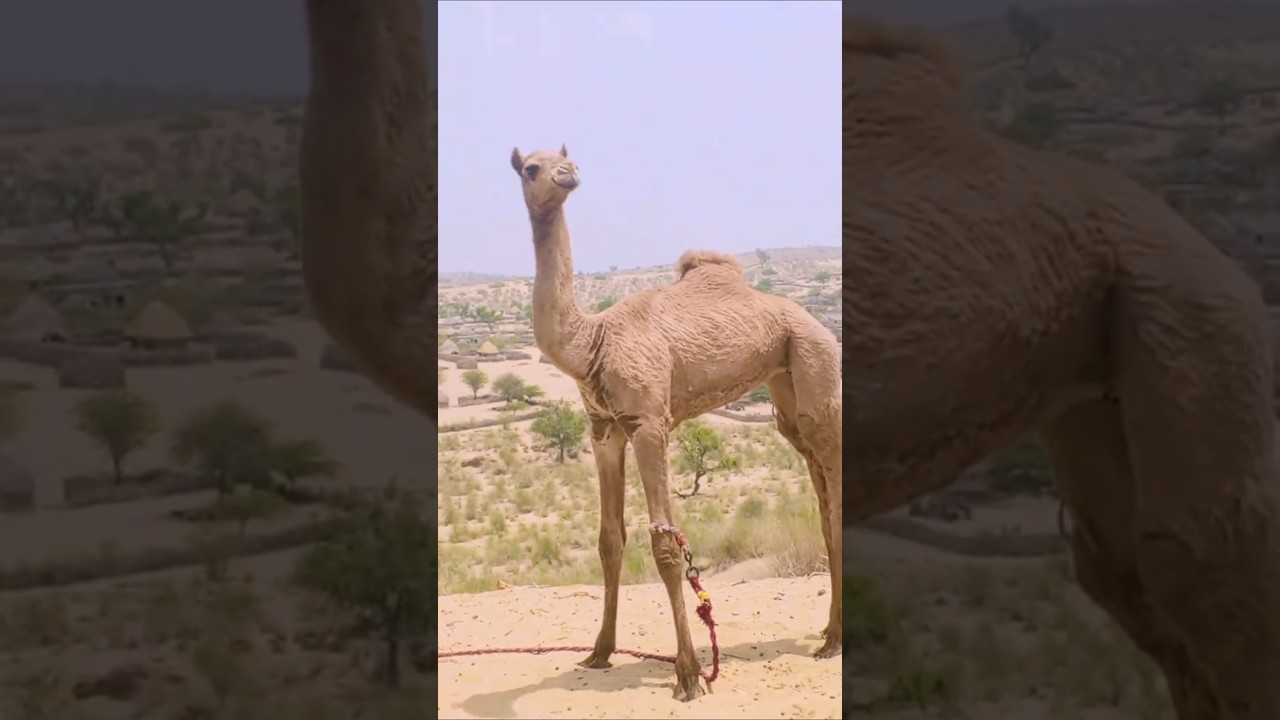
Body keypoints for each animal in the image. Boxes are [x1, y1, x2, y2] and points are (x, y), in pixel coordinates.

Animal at [510, 144, 842, 700]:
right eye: (530, 167)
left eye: (563, 158)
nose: (566, 174)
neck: (592, 344)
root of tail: (815, 321)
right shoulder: (603, 429)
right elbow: (609, 538)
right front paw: (599, 652)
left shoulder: (649, 423)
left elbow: (665, 544)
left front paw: (688, 674)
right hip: (787, 393)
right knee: (820, 494)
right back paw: (828, 631)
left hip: (816, 362)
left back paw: (833, 641)